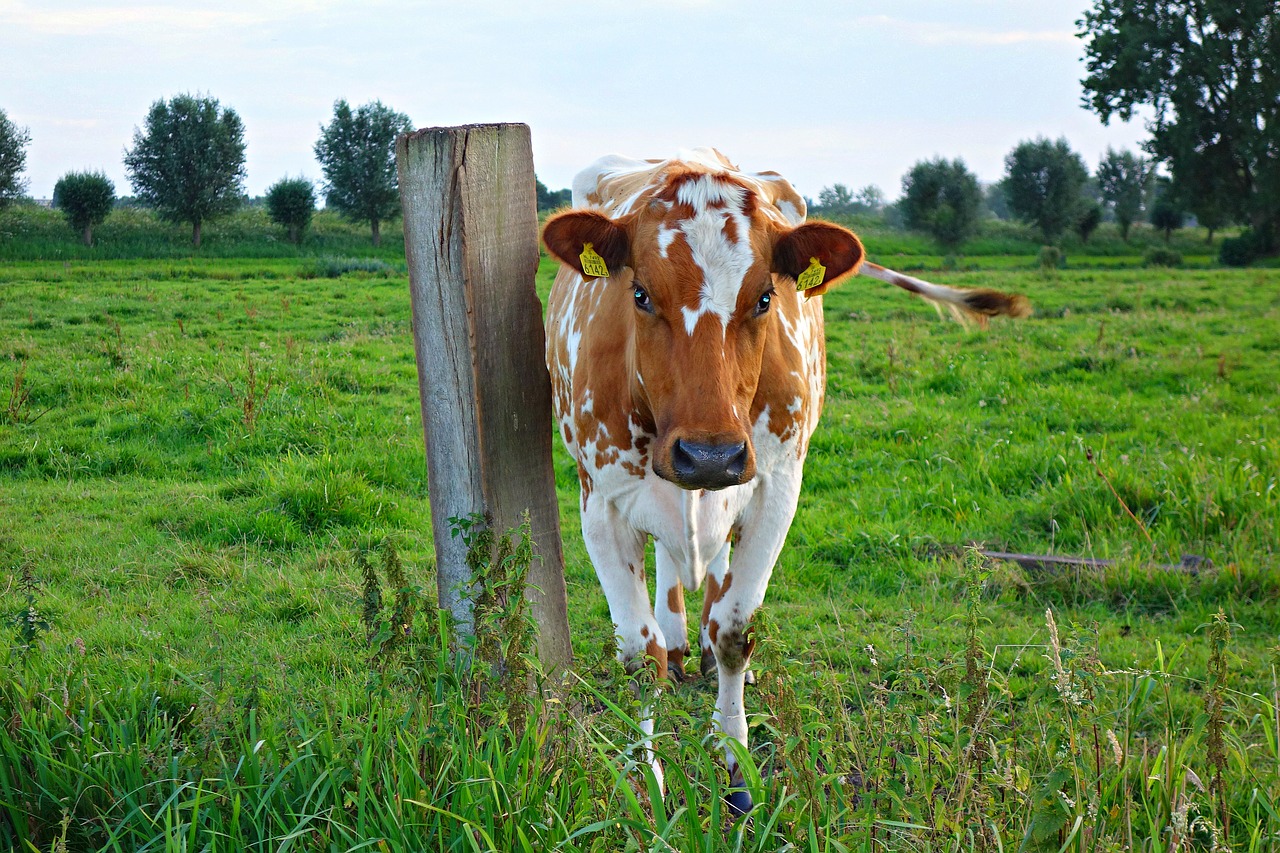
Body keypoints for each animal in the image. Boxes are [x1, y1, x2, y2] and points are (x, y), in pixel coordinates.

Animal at [540, 147, 1029, 809]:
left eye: (766, 298)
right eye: (639, 293)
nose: (709, 455)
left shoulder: (775, 488)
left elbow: (733, 630)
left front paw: (735, 764)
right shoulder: (603, 505)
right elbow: (640, 656)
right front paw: (648, 781)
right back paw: (677, 638)